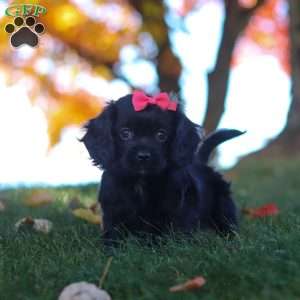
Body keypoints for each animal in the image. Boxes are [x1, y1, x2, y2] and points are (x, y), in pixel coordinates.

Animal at [81, 92, 244, 246]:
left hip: (223, 206)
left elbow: (177, 236)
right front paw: (112, 251)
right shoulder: (113, 212)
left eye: (161, 134)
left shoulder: (177, 212)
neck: (141, 182)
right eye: (125, 133)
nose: (143, 155)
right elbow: (113, 236)